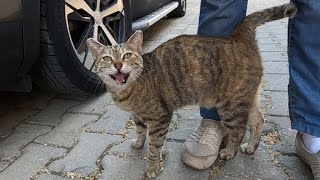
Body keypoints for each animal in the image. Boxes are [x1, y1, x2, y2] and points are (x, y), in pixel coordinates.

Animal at [87, 3, 298, 179]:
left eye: (127, 55)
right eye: (106, 58)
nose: (118, 65)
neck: (127, 91)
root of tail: (237, 35)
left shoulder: (160, 118)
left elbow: (154, 147)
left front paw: (152, 167)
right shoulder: (137, 116)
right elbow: (139, 130)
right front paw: (139, 143)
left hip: (230, 105)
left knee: (239, 129)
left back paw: (230, 151)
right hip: (245, 97)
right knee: (258, 120)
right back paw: (252, 147)